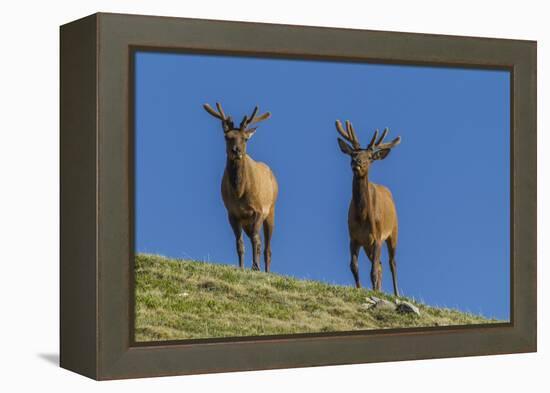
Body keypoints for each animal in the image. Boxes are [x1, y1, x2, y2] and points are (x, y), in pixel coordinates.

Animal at [204, 102, 280, 272]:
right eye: (227, 137)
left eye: (245, 139)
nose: (236, 150)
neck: (239, 193)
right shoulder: (233, 214)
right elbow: (239, 244)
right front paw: (242, 267)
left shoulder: (258, 210)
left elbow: (255, 240)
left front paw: (255, 266)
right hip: (247, 222)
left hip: (271, 210)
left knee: (267, 247)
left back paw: (266, 270)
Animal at [334, 119, 404, 294]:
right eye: (353, 154)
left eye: (370, 157)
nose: (357, 162)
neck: (363, 216)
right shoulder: (354, 238)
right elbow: (354, 266)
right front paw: (359, 289)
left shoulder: (377, 237)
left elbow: (372, 271)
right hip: (368, 246)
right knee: (380, 265)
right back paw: (378, 289)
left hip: (394, 231)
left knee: (392, 263)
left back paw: (396, 293)